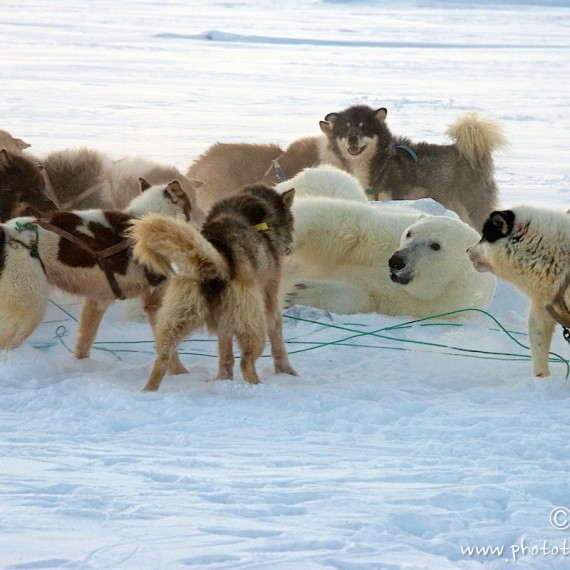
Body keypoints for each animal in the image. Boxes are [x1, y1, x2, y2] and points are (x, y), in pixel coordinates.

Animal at [0, 178, 193, 364]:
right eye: (191, 208)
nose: (197, 229)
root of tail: (7, 232)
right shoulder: (155, 301)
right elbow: (169, 350)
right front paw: (180, 372)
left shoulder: (97, 301)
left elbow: (85, 341)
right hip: (29, 311)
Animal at [129, 184, 298, 388]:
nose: (290, 247)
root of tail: (215, 262)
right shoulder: (270, 298)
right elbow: (278, 339)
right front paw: (287, 371)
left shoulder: (223, 323)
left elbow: (225, 355)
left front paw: (223, 379)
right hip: (253, 325)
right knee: (246, 363)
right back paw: (258, 387)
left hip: (177, 318)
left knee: (162, 359)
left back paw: (149, 389)